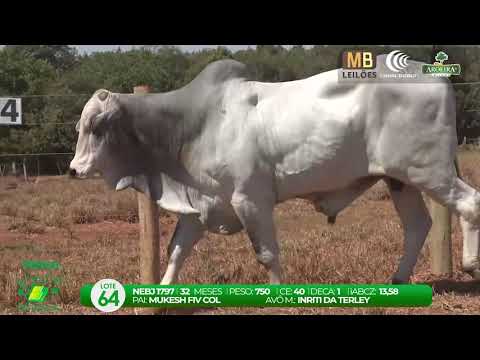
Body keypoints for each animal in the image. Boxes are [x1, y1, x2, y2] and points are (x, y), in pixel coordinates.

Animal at [69, 57, 480, 286]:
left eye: (96, 126)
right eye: (80, 126)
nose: (73, 169)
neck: (193, 125)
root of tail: (434, 74)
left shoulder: (250, 198)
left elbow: (266, 252)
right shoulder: (203, 204)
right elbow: (176, 251)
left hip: (428, 171)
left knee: (469, 203)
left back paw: (470, 265)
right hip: (400, 179)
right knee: (418, 226)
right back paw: (397, 279)